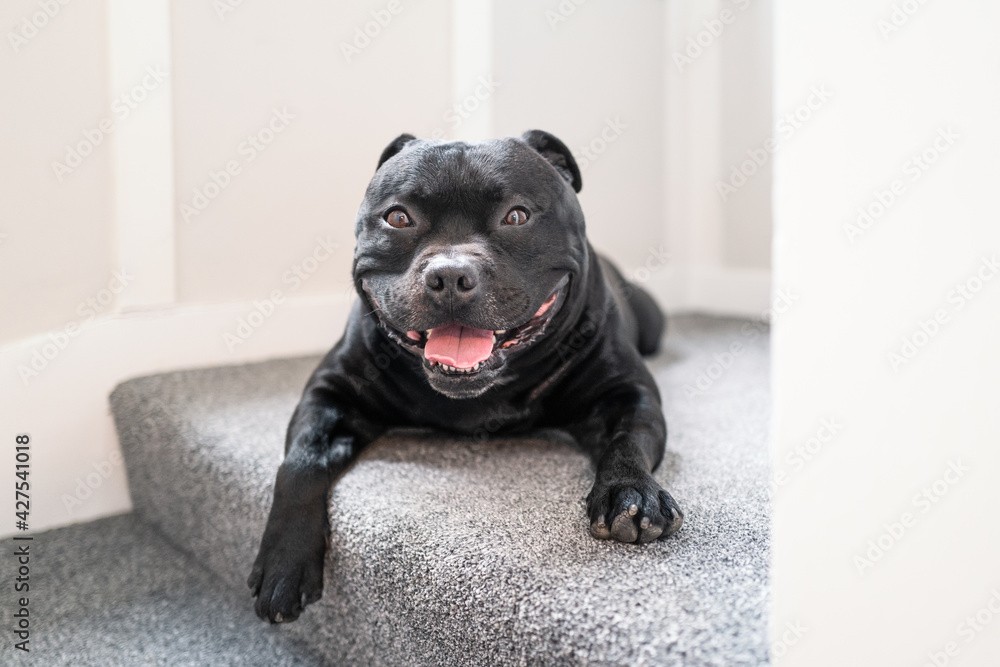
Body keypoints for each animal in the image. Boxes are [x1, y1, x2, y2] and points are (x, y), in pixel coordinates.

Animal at [247, 130, 684, 628]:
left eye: (517, 215)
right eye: (398, 217)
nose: (450, 275)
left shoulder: (628, 393)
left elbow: (628, 439)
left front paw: (631, 492)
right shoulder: (328, 393)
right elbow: (301, 461)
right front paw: (285, 561)